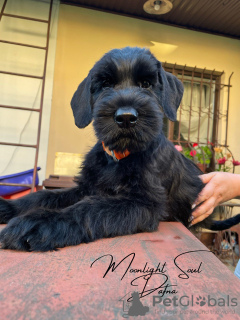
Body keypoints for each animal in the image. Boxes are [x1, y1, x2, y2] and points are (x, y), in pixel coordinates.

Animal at [0, 48, 206, 252]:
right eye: (106, 84)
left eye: (146, 84)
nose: (126, 117)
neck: (118, 157)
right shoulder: (86, 188)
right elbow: (45, 195)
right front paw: (9, 206)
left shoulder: (144, 202)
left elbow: (90, 207)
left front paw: (41, 222)